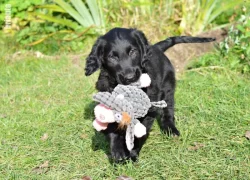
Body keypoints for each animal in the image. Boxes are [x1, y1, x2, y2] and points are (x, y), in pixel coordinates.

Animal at [85, 27, 214, 162]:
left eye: (133, 51)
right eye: (112, 57)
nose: (130, 77)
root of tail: (156, 47)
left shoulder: (148, 109)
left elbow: (140, 132)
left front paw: (133, 152)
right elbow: (112, 128)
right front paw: (118, 151)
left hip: (168, 87)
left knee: (168, 112)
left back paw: (171, 129)